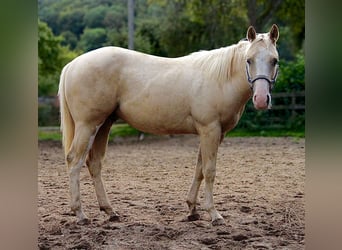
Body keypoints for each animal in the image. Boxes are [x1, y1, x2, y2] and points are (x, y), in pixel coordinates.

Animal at [58, 24, 278, 226]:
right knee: (74, 160)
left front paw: (192, 210)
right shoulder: (210, 130)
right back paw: (80, 214)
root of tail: (72, 65)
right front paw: (214, 214)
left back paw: (110, 211)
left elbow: (199, 169)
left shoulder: (212, 133)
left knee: (94, 163)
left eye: (274, 60)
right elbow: (209, 171)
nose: (261, 99)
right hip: (88, 126)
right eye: (248, 60)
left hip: (103, 125)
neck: (220, 78)